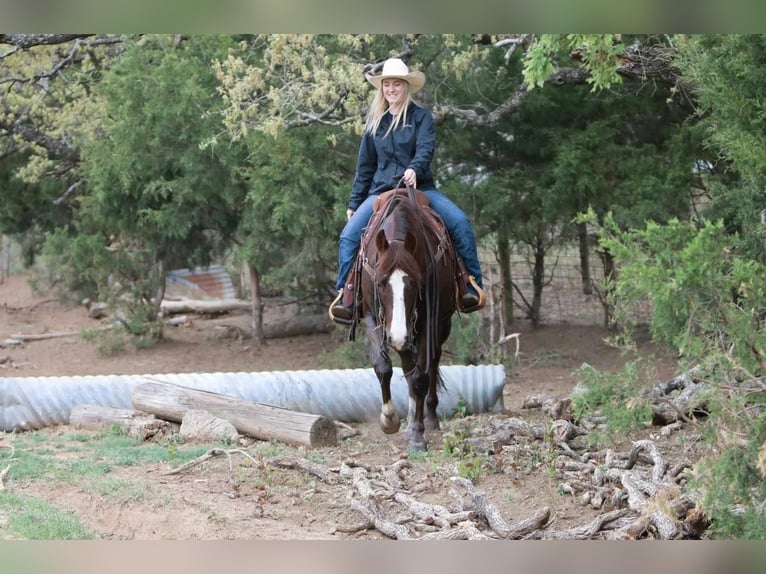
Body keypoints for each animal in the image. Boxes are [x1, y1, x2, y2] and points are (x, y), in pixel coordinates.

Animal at [356, 187, 460, 452]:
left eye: (414, 282)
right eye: (380, 283)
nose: (397, 336)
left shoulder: (429, 321)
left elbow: (421, 376)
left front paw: (417, 434)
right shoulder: (373, 317)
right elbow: (383, 367)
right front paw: (389, 420)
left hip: (439, 324)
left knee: (431, 362)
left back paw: (428, 417)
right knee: (408, 365)